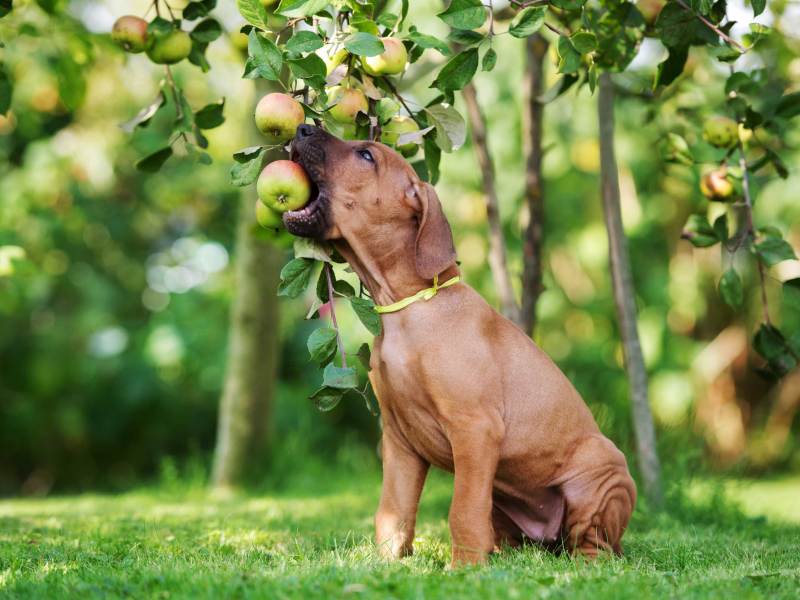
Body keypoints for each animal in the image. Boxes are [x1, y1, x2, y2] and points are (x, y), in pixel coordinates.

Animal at [288, 125, 636, 568]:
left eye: (366, 155)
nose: (303, 128)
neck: (409, 308)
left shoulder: (475, 429)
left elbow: (462, 509)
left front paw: (463, 569)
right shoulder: (399, 441)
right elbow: (393, 511)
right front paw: (385, 564)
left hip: (602, 473)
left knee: (594, 543)